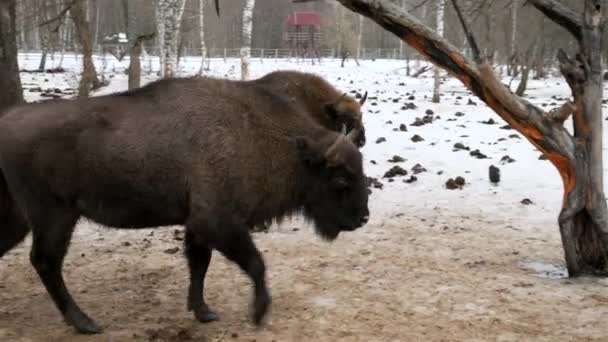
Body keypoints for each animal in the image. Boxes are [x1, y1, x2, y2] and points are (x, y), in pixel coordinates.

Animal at [0, 74, 370, 334]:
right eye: (340, 178)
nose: (363, 217)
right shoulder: (216, 221)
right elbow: (255, 263)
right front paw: (258, 313)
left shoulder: (198, 225)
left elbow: (199, 264)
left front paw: (203, 311)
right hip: (55, 215)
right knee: (46, 262)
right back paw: (85, 323)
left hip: (21, 217)